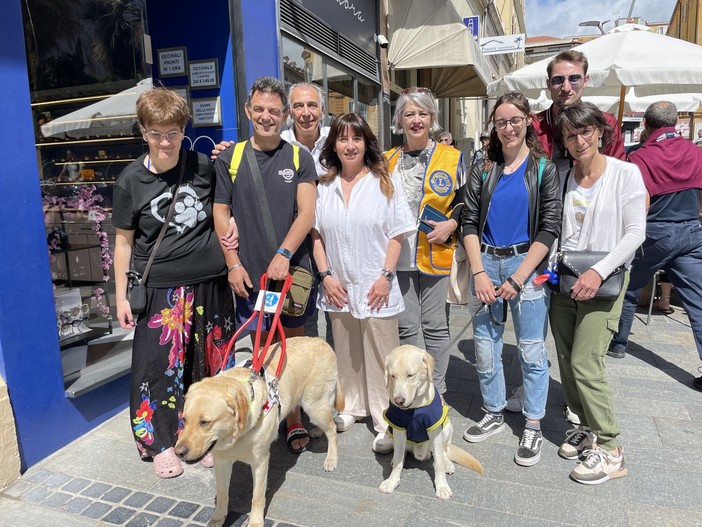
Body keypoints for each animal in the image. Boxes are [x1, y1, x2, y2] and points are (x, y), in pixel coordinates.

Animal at [173, 338, 344, 527]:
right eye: (184, 420)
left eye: (205, 422)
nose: (178, 452)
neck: (236, 437)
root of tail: (320, 340)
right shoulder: (221, 462)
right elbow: (223, 494)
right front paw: (218, 518)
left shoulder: (260, 462)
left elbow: (257, 497)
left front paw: (255, 522)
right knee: (329, 421)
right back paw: (317, 431)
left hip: (314, 405)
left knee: (332, 429)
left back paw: (331, 459)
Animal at [380, 344, 484, 502]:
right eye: (392, 376)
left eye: (411, 375)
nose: (399, 401)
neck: (414, 408)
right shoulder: (398, 429)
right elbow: (398, 460)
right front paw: (392, 481)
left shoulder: (434, 430)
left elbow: (438, 463)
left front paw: (442, 487)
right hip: (391, 430)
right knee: (402, 452)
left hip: (446, 427)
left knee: (443, 451)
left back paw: (448, 464)